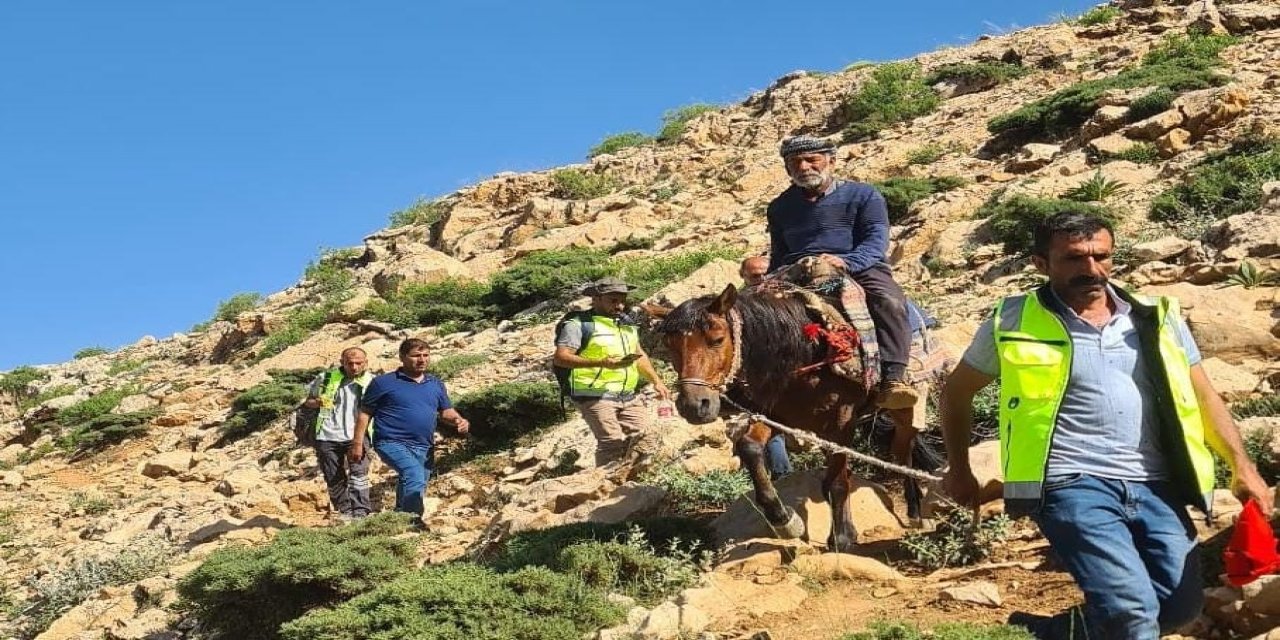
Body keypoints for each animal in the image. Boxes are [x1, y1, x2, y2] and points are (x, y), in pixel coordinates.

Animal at [655, 284, 936, 550]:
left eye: (717, 339)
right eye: (669, 346)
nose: (694, 406)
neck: (802, 357)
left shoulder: (840, 424)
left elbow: (837, 482)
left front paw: (842, 539)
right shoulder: (776, 417)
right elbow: (749, 447)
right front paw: (785, 520)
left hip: (904, 410)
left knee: (902, 452)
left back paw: (914, 511)